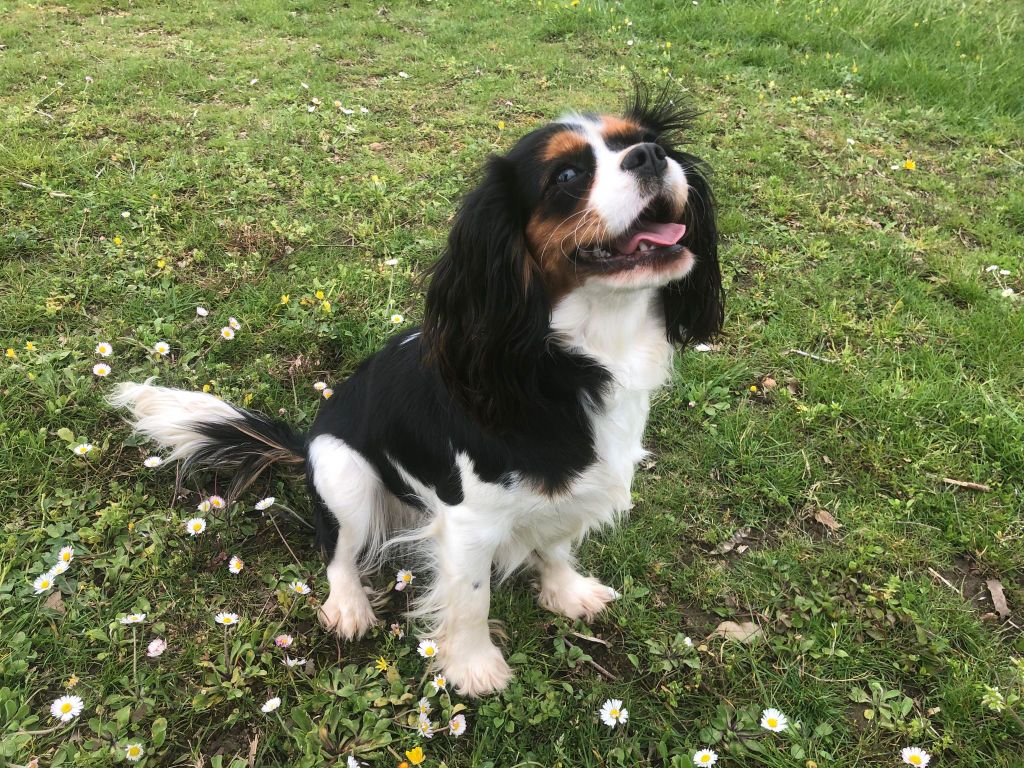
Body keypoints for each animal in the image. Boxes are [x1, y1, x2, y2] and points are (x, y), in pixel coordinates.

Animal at [110, 87, 720, 700]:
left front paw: (567, 593)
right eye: (567, 174)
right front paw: (473, 666)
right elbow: (471, 600)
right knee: (336, 550)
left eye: (648, 142)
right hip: (343, 473)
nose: (650, 157)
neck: (577, 356)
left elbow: (555, 543)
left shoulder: (570, 490)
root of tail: (304, 439)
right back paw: (348, 607)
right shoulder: (470, 524)